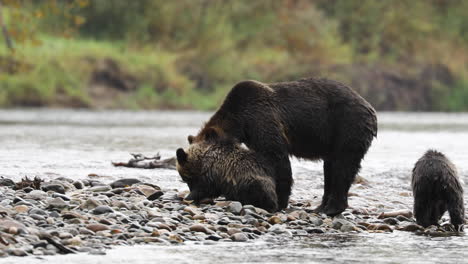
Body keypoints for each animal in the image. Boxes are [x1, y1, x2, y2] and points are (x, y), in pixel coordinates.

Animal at [183, 77, 376, 216]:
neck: (239, 122)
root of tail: (369, 106)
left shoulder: (262, 118)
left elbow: (277, 158)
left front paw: (279, 202)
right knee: (330, 168)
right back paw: (320, 207)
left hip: (347, 126)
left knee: (342, 166)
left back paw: (331, 208)